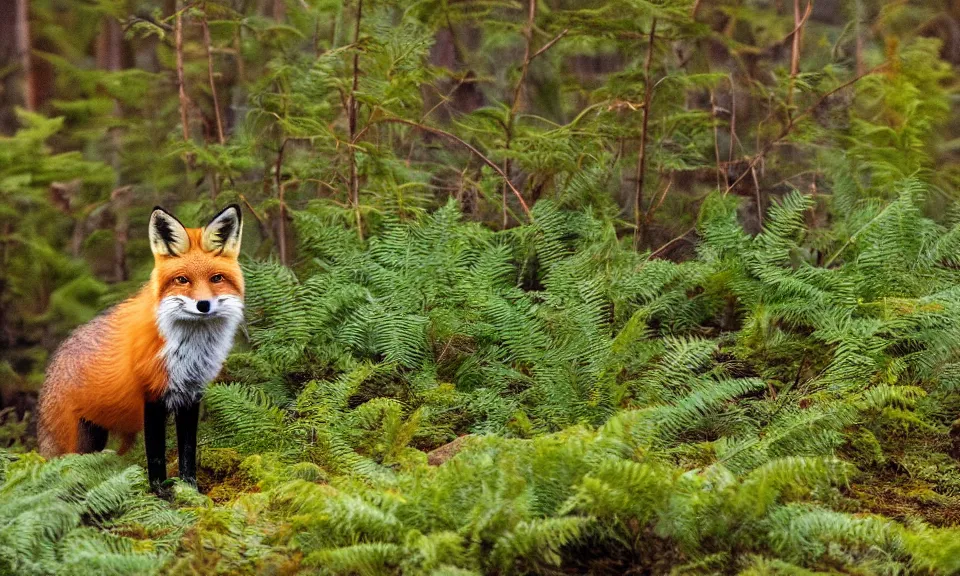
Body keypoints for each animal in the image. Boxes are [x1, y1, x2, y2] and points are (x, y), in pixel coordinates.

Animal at [38, 205, 246, 488]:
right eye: (182, 280)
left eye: (216, 278)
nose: (203, 305)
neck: (188, 349)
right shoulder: (152, 395)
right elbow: (156, 456)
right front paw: (161, 492)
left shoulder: (191, 395)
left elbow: (188, 451)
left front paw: (190, 489)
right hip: (77, 439)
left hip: (96, 435)